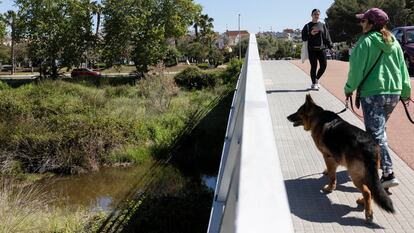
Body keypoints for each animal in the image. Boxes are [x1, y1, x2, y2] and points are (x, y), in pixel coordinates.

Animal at [286, 94, 392, 222]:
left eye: (298, 112)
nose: (287, 117)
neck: (317, 117)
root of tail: (370, 145)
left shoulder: (328, 156)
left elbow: (332, 176)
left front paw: (330, 188)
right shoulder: (332, 159)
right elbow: (331, 170)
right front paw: (327, 173)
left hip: (355, 174)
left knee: (367, 192)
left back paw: (368, 213)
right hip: (367, 174)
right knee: (371, 191)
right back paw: (363, 202)